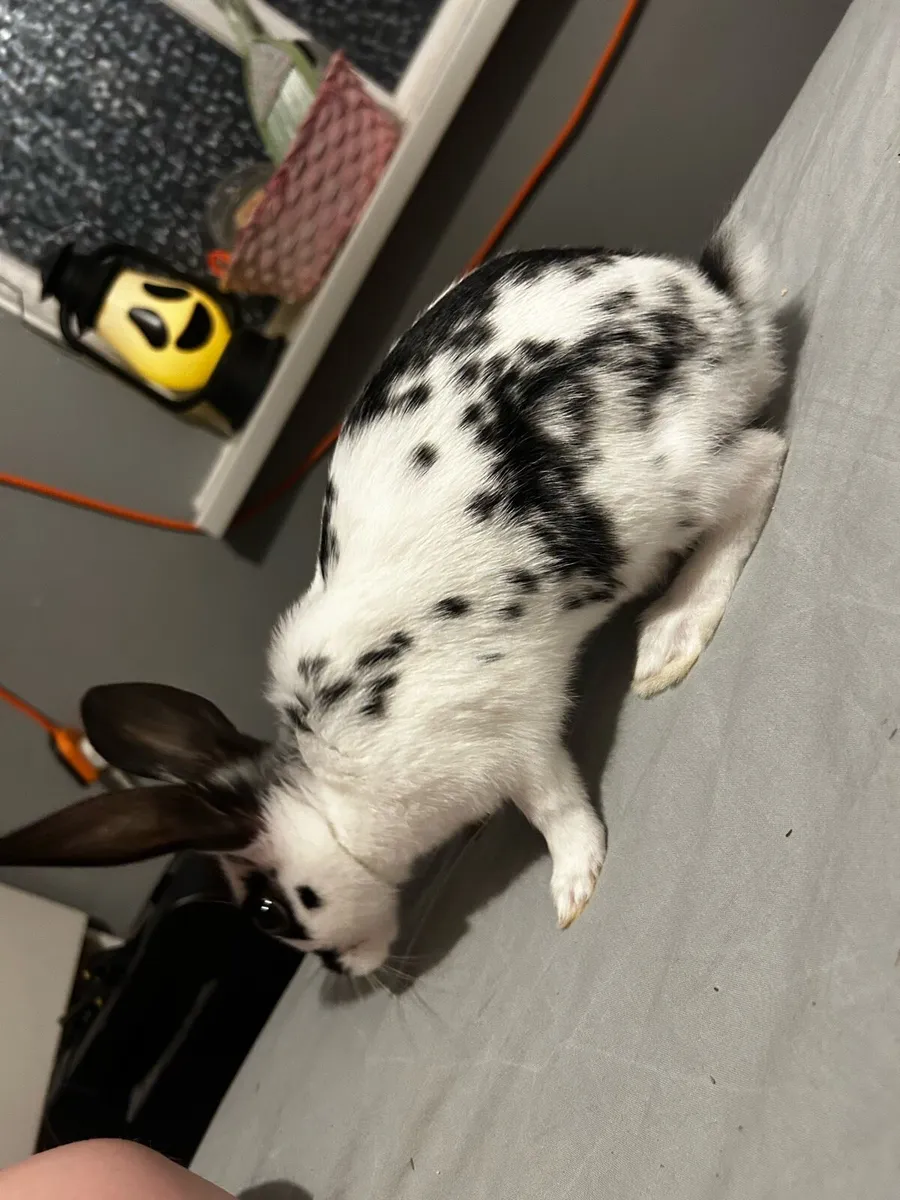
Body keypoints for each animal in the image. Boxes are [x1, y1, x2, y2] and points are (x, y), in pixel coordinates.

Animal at [0, 222, 785, 976]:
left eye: (267, 913)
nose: (340, 969)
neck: (337, 800)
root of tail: (712, 306)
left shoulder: (512, 745)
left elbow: (555, 808)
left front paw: (574, 886)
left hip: (652, 503)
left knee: (763, 465)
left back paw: (672, 634)